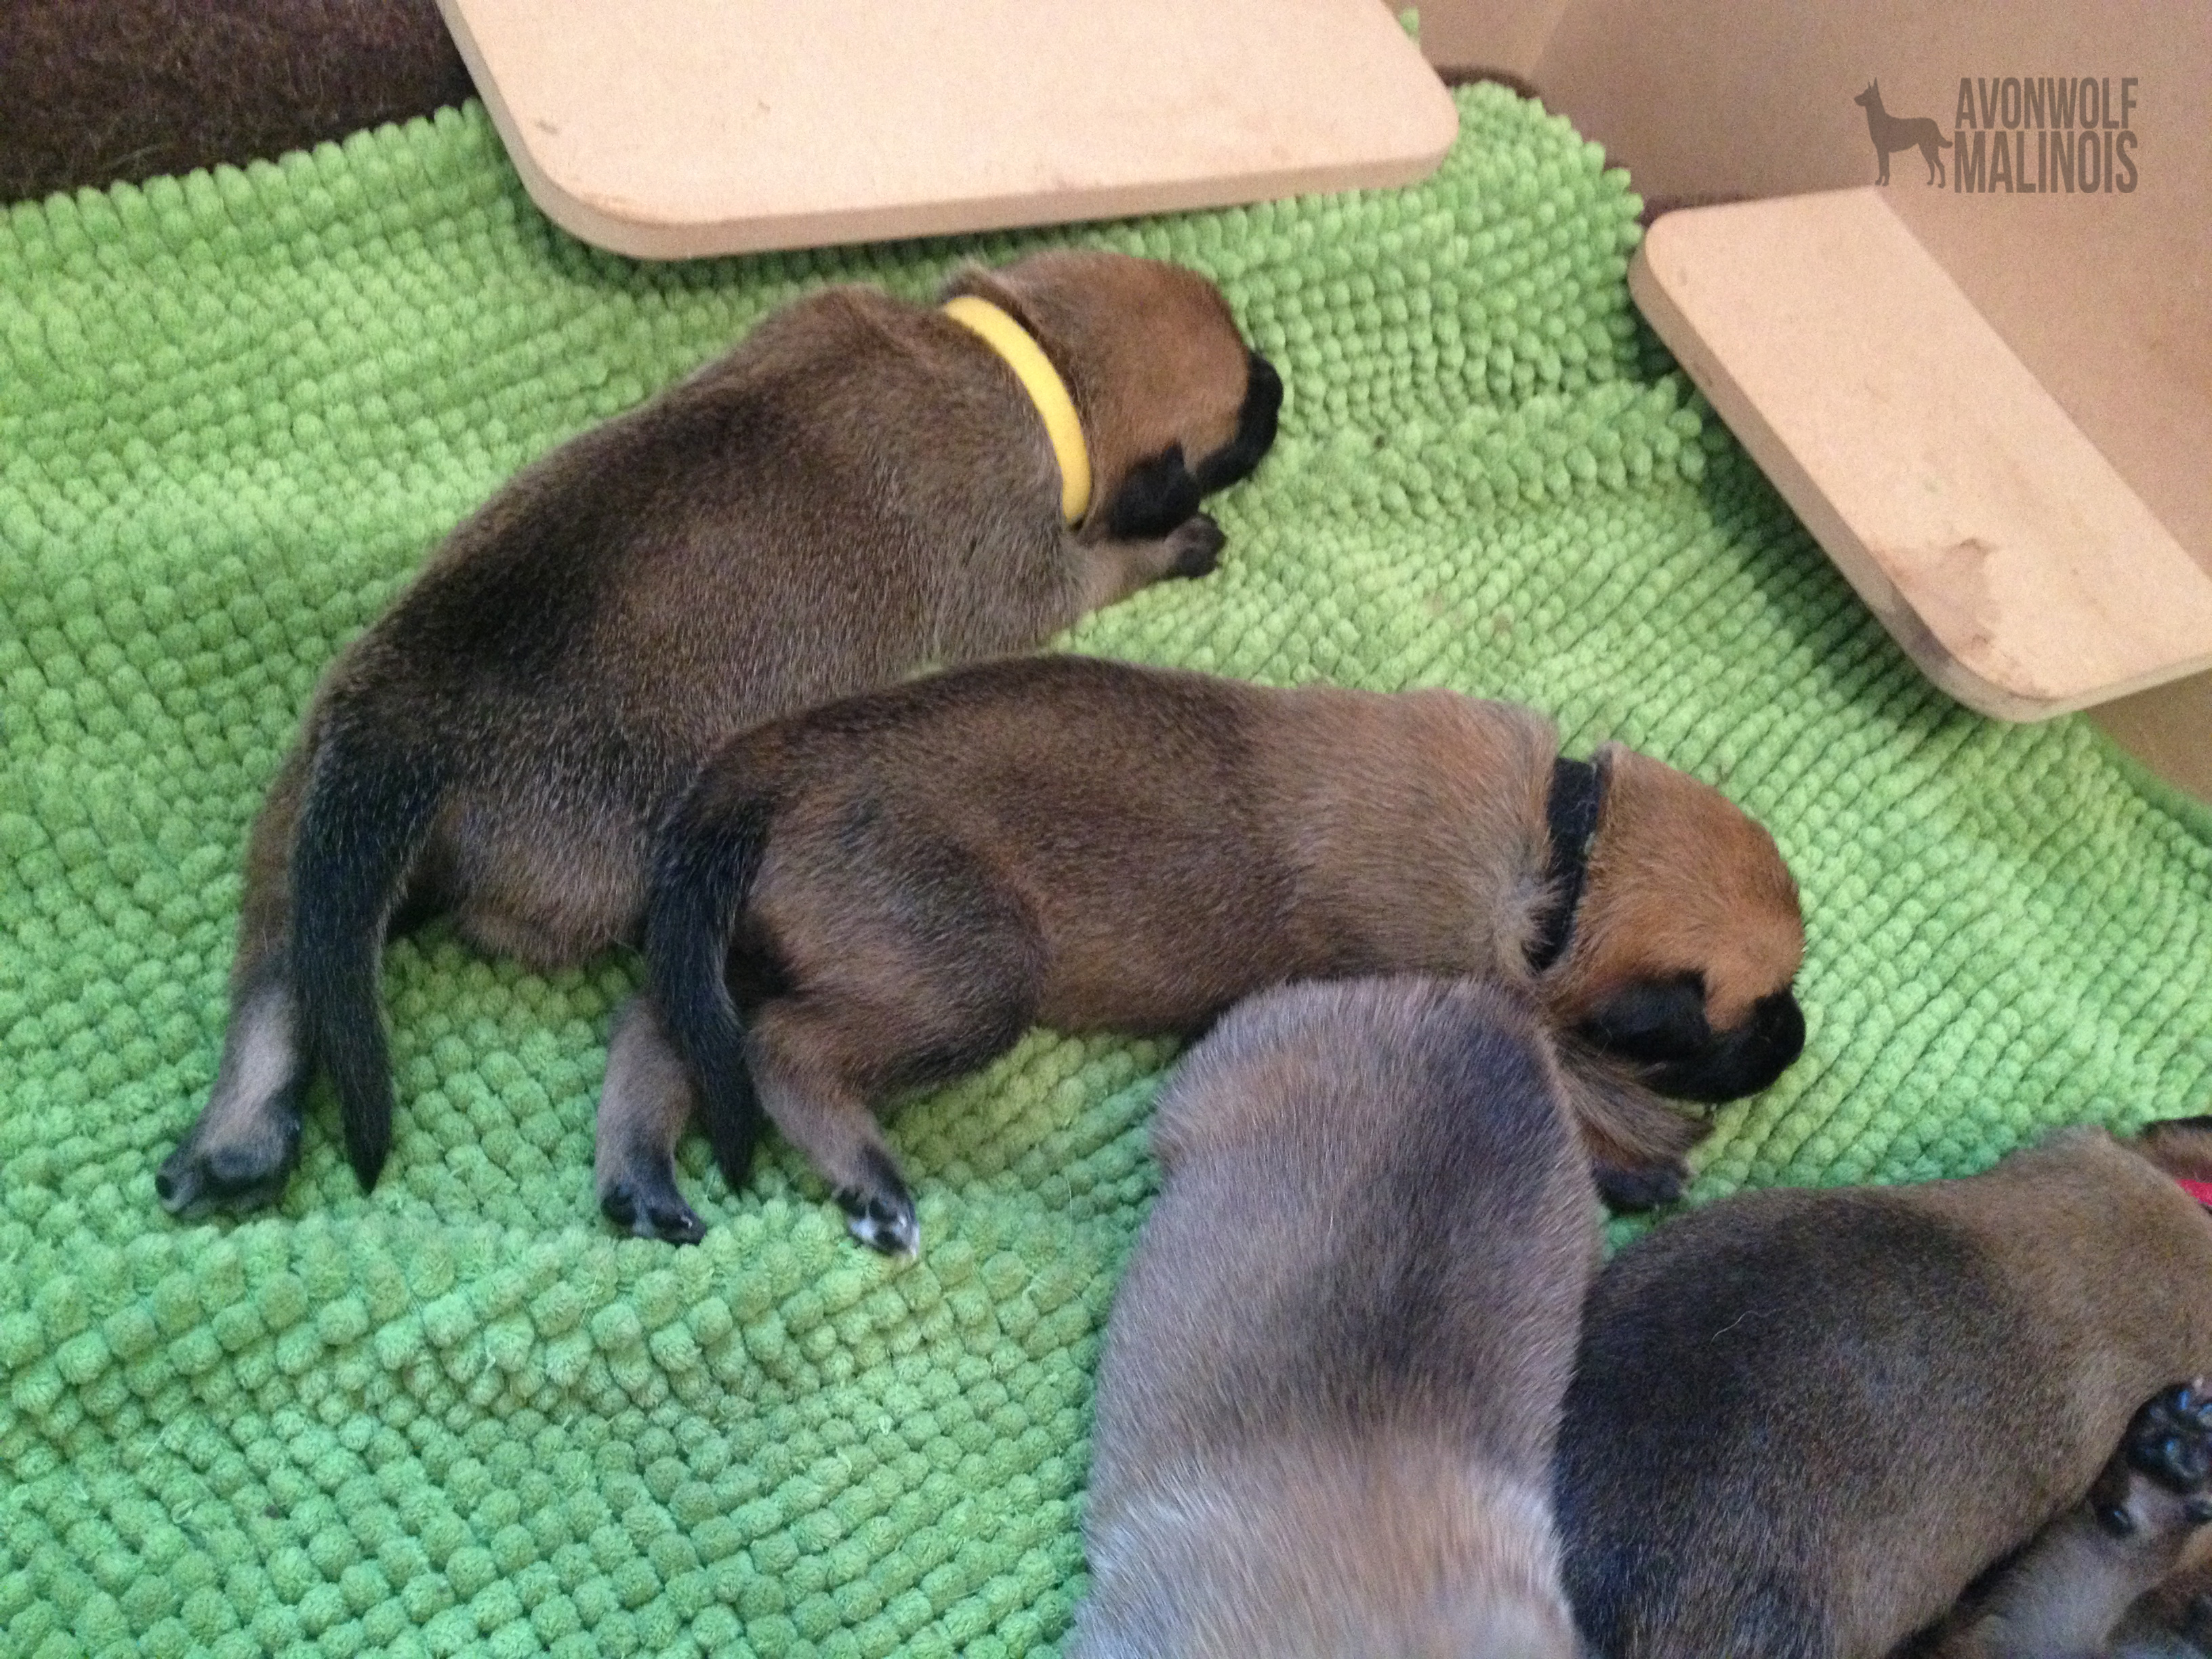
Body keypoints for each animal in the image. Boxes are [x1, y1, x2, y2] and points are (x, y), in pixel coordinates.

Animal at [156, 250, 1282, 1222]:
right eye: (1241, 403)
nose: (1280, 384)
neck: (1018, 359)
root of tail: (404, 725)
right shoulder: (1028, 577)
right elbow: (1100, 568)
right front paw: (1178, 543)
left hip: (296, 813)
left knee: (277, 972)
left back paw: (235, 1140)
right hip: (614, 874)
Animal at [641, 653, 1807, 1250]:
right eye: (1746, 1017)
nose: (1798, 1039)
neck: (1564, 857)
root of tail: (773, 764)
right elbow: (1569, 1075)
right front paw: (1638, 1151)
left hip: (737, 953)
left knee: (667, 1040)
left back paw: (639, 1178)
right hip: (967, 979)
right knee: (783, 1051)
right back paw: (869, 1179)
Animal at [1855, 81, 1951, 186]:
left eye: (1866, 93)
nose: (1854, 98)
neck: (1879, 119)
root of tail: (1934, 123)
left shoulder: (1883, 150)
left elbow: (1884, 168)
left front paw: (1884, 182)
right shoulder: (1880, 150)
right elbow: (1883, 168)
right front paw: (1882, 181)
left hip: (1930, 149)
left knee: (1940, 166)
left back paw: (1942, 185)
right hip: (1925, 149)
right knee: (1932, 165)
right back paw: (1931, 182)